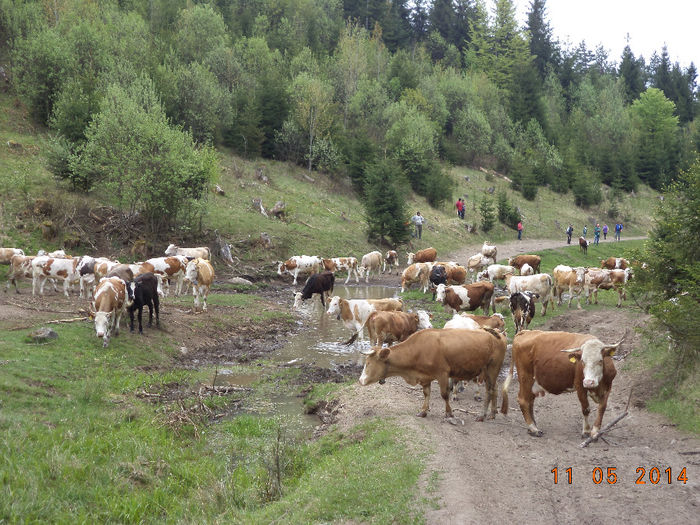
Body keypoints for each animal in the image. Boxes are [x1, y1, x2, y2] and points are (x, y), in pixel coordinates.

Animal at [358, 326, 506, 420]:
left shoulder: (442, 374)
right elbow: (426, 393)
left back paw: (482, 415)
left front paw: (449, 413)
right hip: (489, 371)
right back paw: (492, 413)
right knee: (494, 388)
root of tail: (497, 333)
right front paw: (423, 411)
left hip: (492, 368)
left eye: (369, 363)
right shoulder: (425, 376)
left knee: (490, 390)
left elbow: (444, 395)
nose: (360, 380)